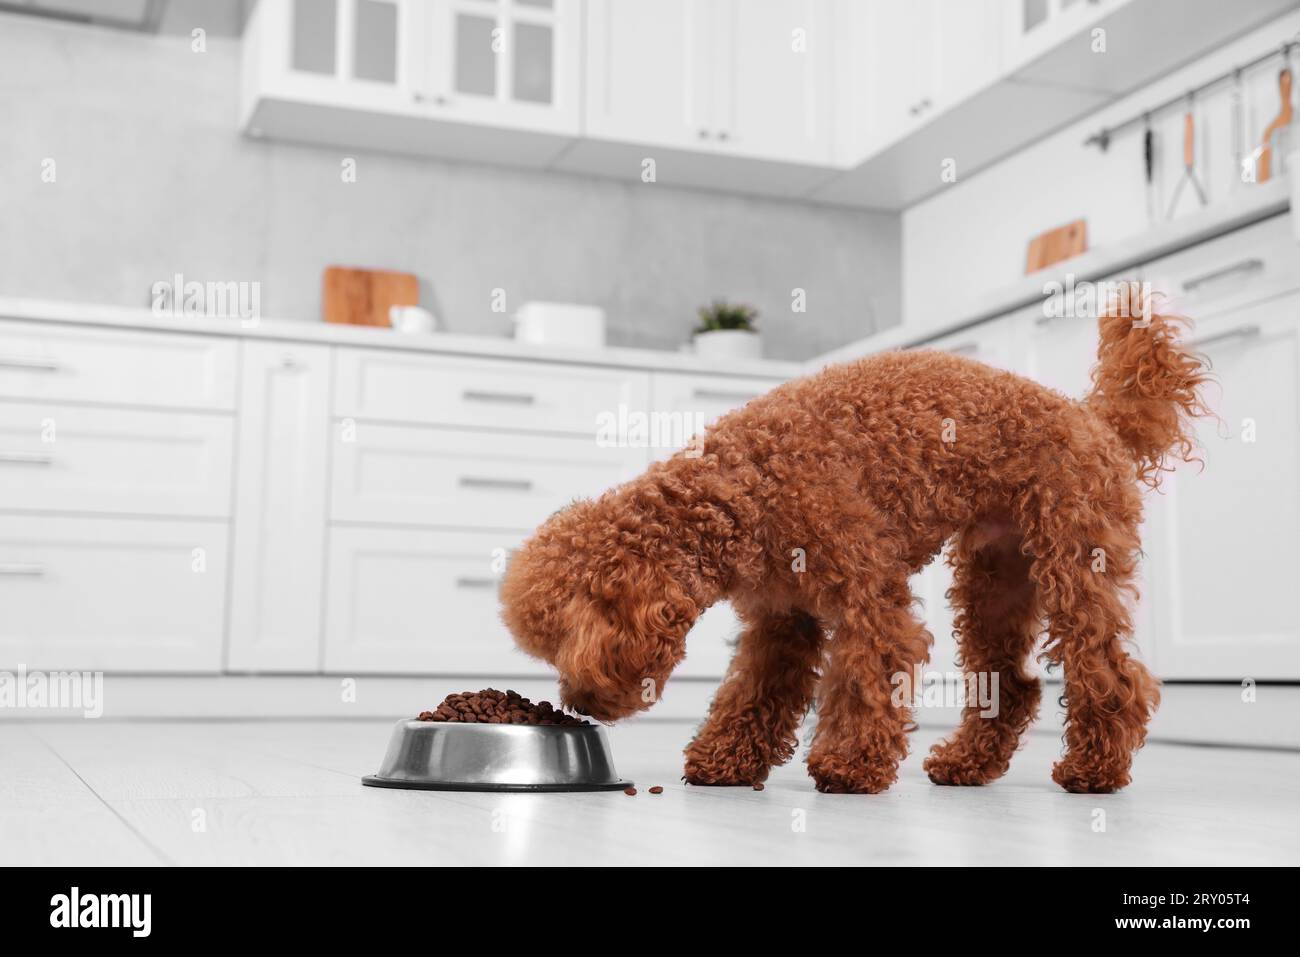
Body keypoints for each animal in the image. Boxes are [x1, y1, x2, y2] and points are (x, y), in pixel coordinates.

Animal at [496, 302, 1206, 795]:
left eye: (563, 640)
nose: (577, 705)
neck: (736, 490)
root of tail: (1095, 418)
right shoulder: (782, 617)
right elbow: (755, 692)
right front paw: (725, 760)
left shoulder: (867, 594)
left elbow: (865, 675)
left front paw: (847, 765)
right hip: (993, 578)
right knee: (1014, 683)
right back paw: (966, 764)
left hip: (1072, 562)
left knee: (1109, 671)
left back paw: (1096, 770)